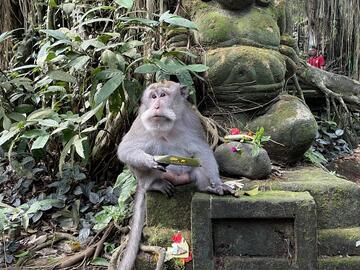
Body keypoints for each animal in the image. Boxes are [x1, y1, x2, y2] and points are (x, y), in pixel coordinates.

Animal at [116, 80, 233, 270]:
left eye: (163, 95)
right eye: (153, 96)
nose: (156, 106)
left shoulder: (192, 120)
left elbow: (202, 150)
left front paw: (217, 183)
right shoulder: (140, 122)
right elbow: (125, 149)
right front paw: (150, 160)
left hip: (189, 175)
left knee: (197, 162)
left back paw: (205, 187)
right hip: (153, 176)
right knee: (150, 146)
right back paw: (153, 184)